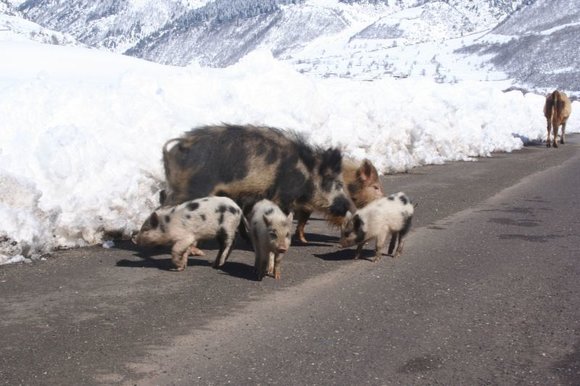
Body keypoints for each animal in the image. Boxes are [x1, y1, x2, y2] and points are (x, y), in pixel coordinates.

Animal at [161, 123, 356, 228]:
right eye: (337, 183)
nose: (349, 206)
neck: (306, 173)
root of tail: (179, 147)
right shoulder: (283, 195)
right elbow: (284, 213)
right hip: (194, 187)